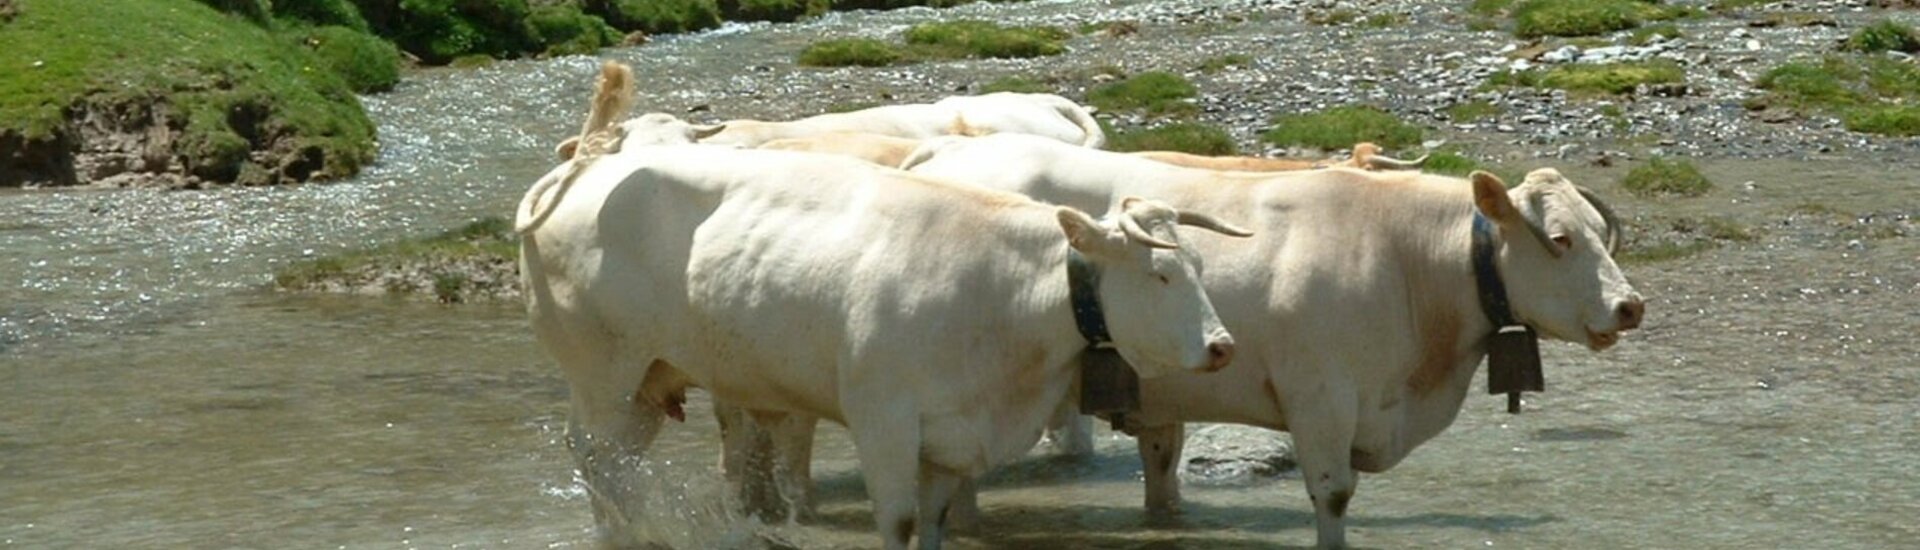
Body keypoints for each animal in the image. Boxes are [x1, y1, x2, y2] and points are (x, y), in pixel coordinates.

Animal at [518, 143, 1251, 550]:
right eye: (1160, 276)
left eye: (1198, 267)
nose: (1222, 346)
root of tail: (585, 166)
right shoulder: (884, 421)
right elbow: (897, 524)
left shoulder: (951, 438)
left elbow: (935, 524)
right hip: (604, 371)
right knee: (599, 457)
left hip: (649, 379)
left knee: (612, 461)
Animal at [741, 131, 1643, 546]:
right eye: (1560, 238)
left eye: (1603, 232)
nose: (1631, 306)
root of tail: (951, 145)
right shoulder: (1322, 400)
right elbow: (1332, 498)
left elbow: (1165, 469)